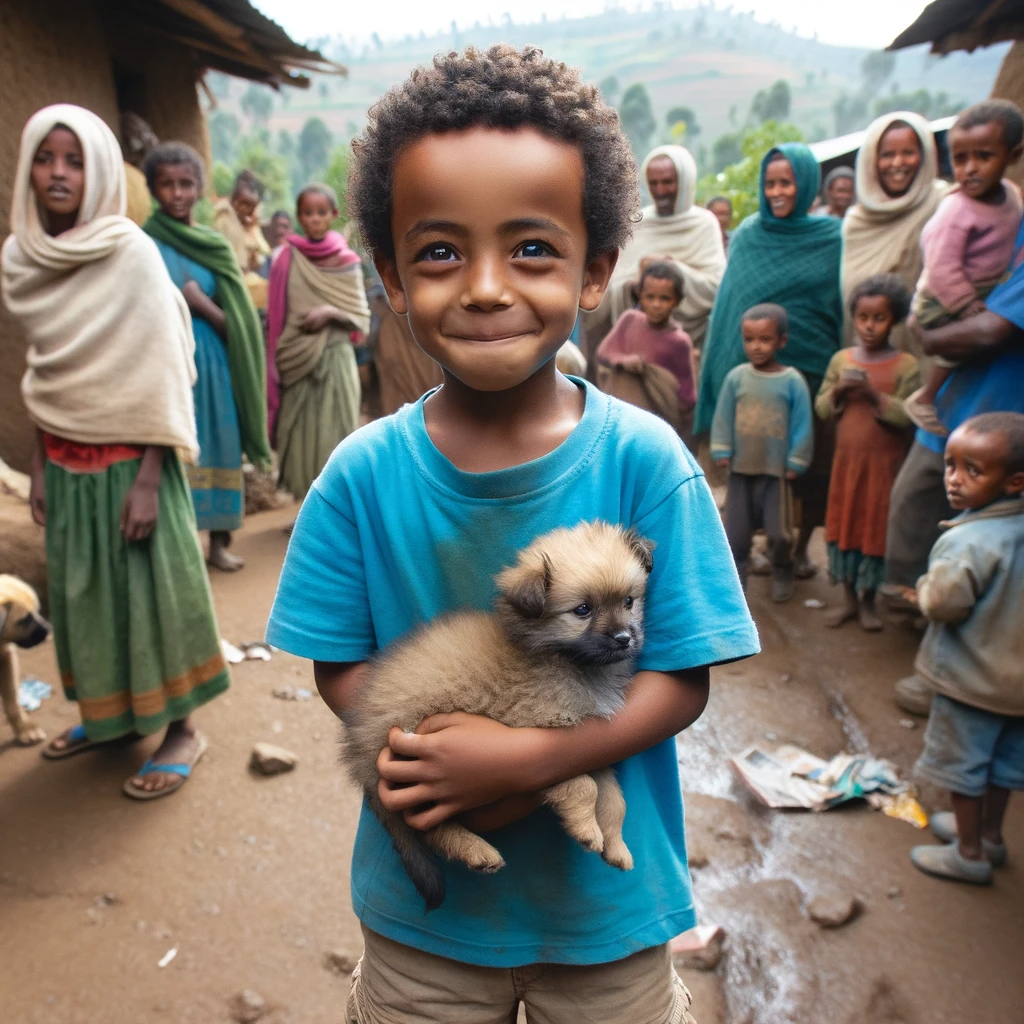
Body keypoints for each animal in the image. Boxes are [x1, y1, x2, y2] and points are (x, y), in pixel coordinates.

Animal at [0, 577, 51, 745]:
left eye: (37, 610)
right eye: (25, 620)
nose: (49, 629)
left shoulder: (6, 656)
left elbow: (12, 700)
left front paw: (26, 730)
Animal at [339, 524, 651, 909]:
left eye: (629, 601)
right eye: (583, 610)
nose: (624, 638)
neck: (565, 660)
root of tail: (359, 745)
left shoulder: (586, 747)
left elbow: (612, 799)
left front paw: (616, 845)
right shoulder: (542, 744)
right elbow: (584, 788)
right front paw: (586, 829)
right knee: (429, 827)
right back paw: (475, 850)